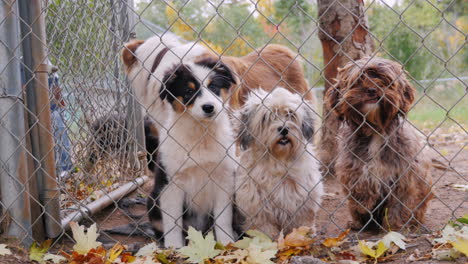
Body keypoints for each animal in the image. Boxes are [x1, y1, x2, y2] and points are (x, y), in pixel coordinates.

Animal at [121, 35, 238, 248]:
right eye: (189, 91)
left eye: (213, 87)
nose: (209, 107)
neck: (201, 135)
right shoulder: (171, 185)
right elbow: (172, 224)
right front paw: (174, 248)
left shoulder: (223, 180)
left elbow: (223, 219)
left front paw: (227, 244)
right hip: (153, 202)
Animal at [233, 87, 322, 238]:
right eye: (266, 118)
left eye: (290, 114)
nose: (284, 129)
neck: (279, 160)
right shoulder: (257, 203)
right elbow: (264, 226)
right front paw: (266, 239)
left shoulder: (304, 197)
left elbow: (302, 221)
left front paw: (302, 235)